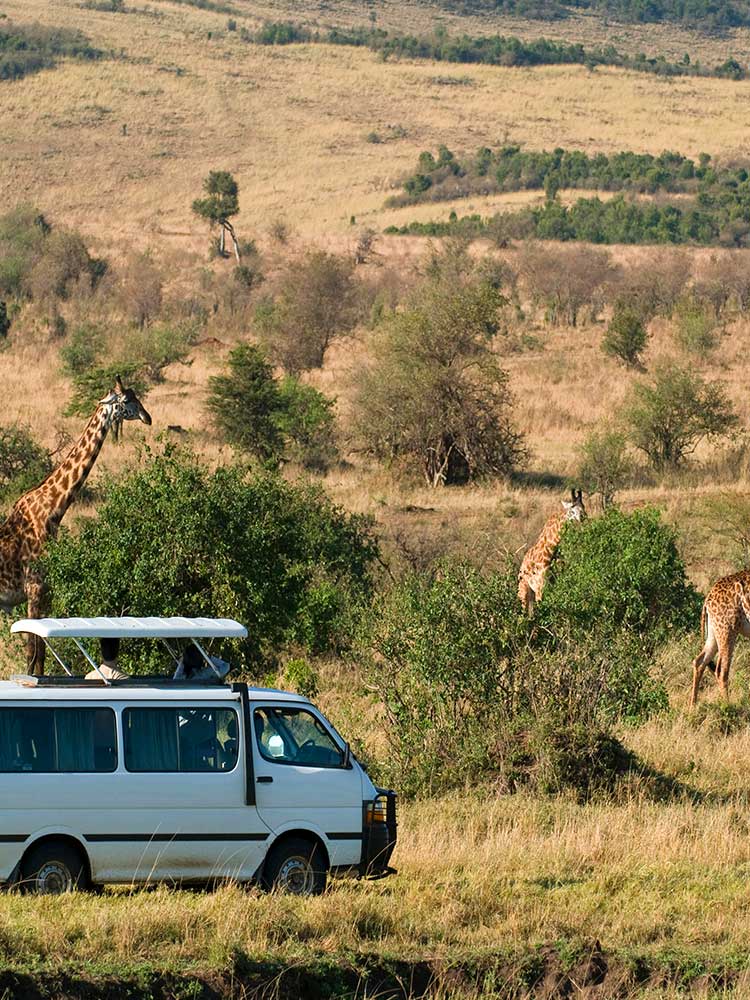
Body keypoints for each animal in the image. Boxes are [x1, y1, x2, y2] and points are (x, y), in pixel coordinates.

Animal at [0, 377, 151, 674]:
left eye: (136, 396)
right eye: (126, 401)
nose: (147, 417)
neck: (53, 509)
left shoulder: (46, 590)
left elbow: (41, 654)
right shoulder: (34, 588)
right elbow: (32, 654)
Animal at [517, 489, 586, 617]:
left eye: (583, 506)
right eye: (572, 509)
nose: (583, 517)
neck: (551, 551)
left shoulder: (555, 585)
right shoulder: (540, 587)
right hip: (523, 590)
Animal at [689, 570, 750, 707]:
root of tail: (708, 598)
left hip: (714, 631)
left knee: (699, 661)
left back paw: (692, 707)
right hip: (727, 630)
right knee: (721, 670)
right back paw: (727, 706)